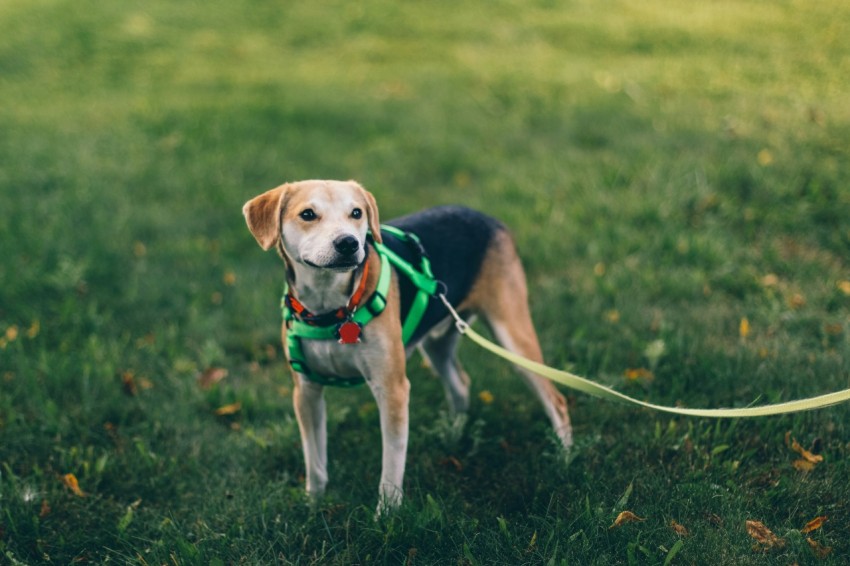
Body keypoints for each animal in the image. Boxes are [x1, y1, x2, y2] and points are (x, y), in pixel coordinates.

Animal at [242, 181, 568, 516]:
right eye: (308, 214)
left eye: (356, 213)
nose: (348, 243)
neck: (332, 309)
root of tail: (487, 217)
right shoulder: (306, 391)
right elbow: (315, 460)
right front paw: (313, 505)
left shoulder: (392, 389)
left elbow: (392, 463)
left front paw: (386, 515)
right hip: (438, 344)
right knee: (461, 384)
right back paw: (454, 433)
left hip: (513, 337)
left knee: (556, 400)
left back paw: (563, 458)